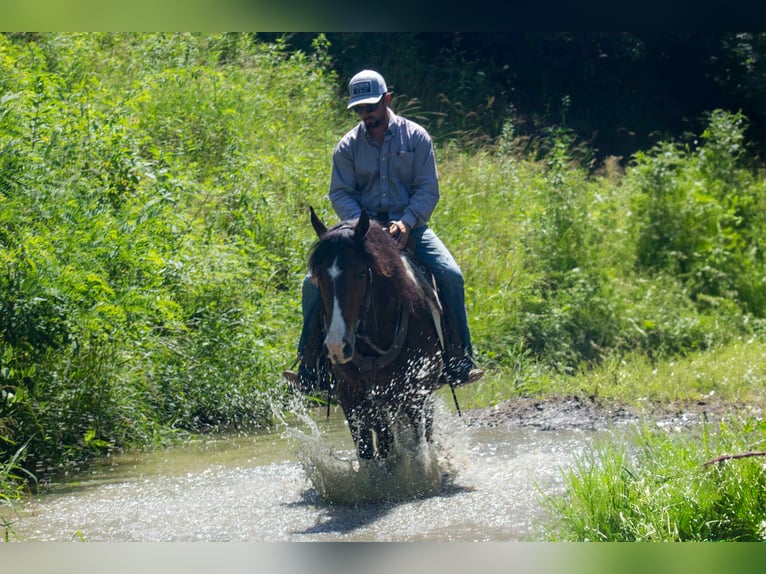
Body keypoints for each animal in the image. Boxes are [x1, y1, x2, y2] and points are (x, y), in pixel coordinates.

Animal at [307, 206, 446, 461]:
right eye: (319, 276)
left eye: (361, 273)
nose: (336, 347)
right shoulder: (350, 396)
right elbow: (368, 452)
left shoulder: (413, 393)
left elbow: (415, 447)